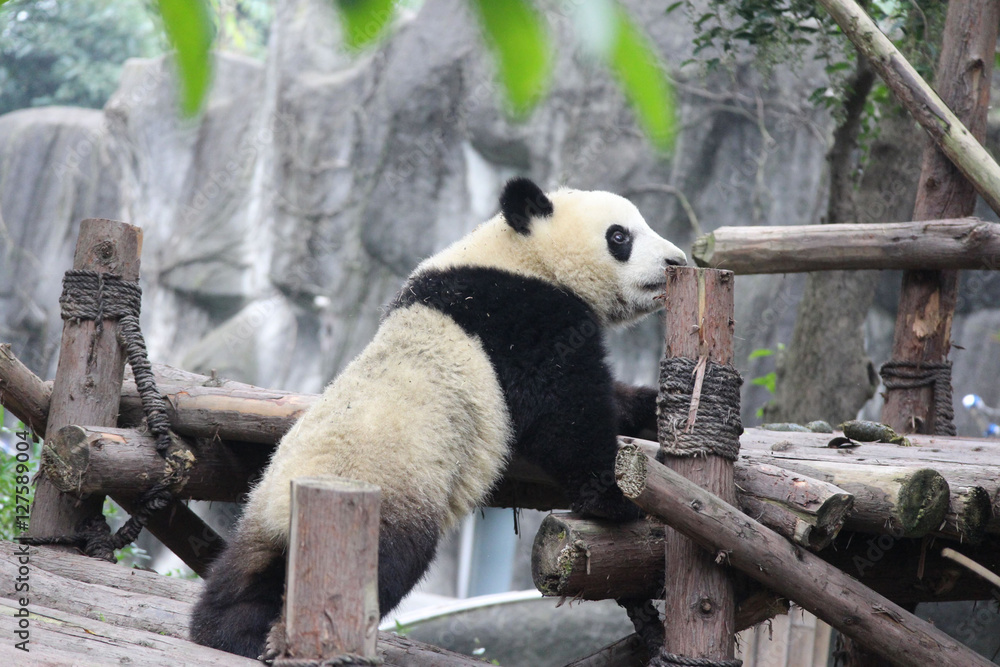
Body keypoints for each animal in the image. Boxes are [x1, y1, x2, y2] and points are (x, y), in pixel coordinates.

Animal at [190, 177, 687, 658]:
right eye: (620, 236)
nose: (677, 260)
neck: (522, 254)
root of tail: (288, 511)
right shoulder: (524, 318)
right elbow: (568, 413)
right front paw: (616, 497)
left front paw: (652, 411)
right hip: (385, 495)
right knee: (380, 566)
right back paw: (291, 638)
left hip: (262, 511)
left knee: (243, 573)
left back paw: (229, 632)